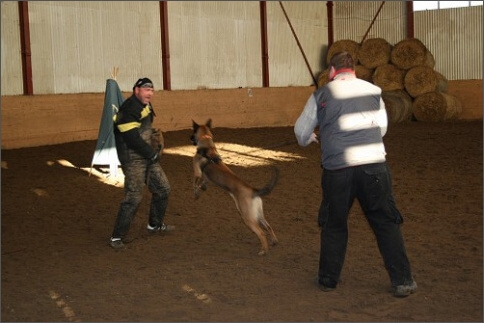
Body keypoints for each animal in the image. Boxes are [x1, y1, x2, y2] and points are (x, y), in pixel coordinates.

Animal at [190, 119, 278, 256]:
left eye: (193, 132)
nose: (190, 138)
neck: (207, 146)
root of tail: (254, 191)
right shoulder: (206, 177)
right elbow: (204, 182)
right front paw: (202, 188)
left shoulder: (197, 172)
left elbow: (195, 183)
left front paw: (196, 192)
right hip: (258, 214)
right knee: (268, 226)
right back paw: (273, 241)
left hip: (247, 217)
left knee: (261, 232)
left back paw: (263, 250)